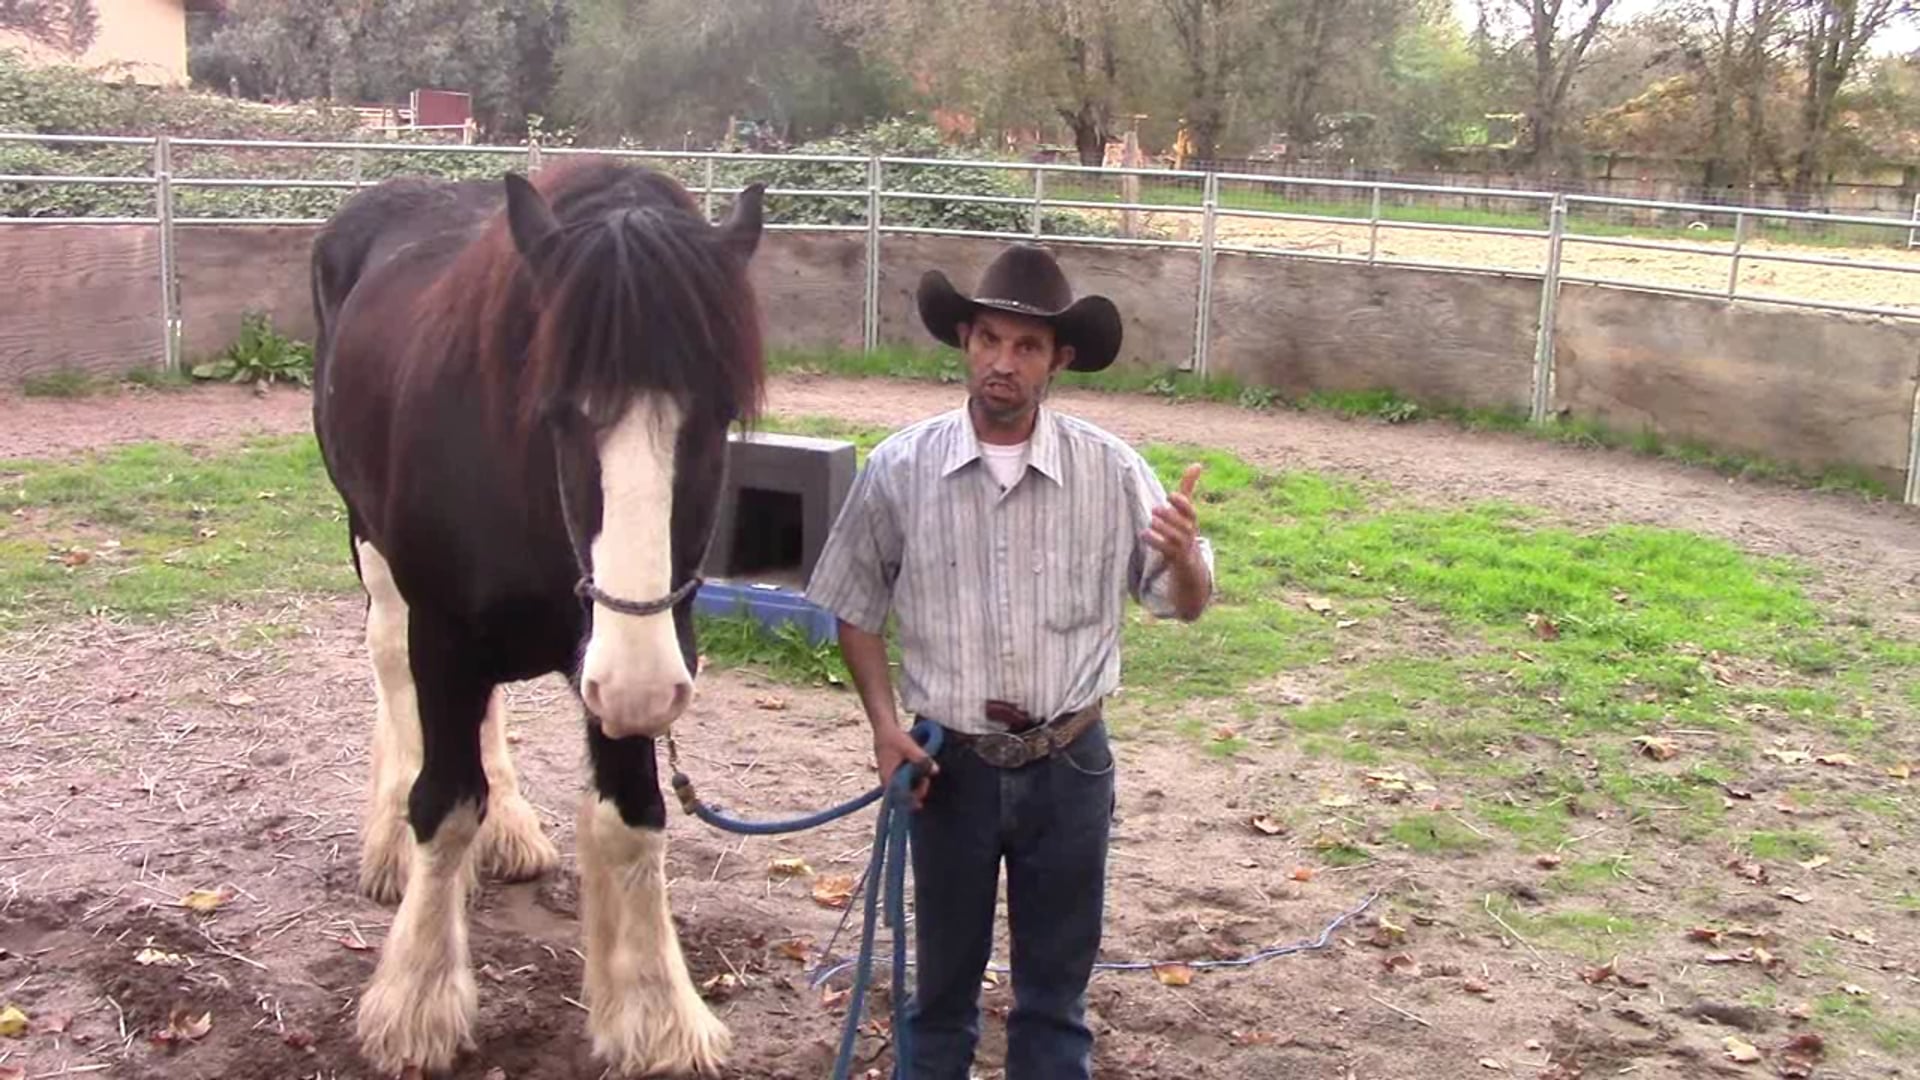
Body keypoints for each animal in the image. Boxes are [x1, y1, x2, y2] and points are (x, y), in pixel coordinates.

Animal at [309, 156, 767, 1077]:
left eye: (716, 415)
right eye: (559, 411)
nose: (636, 685)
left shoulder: (631, 651)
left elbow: (633, 820)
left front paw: (656, 1014)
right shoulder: (444, 632)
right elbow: (445, 805)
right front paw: (417, 1002)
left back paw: (511, 829)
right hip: (372, 549)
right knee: (388, 666)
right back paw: (389, 845)